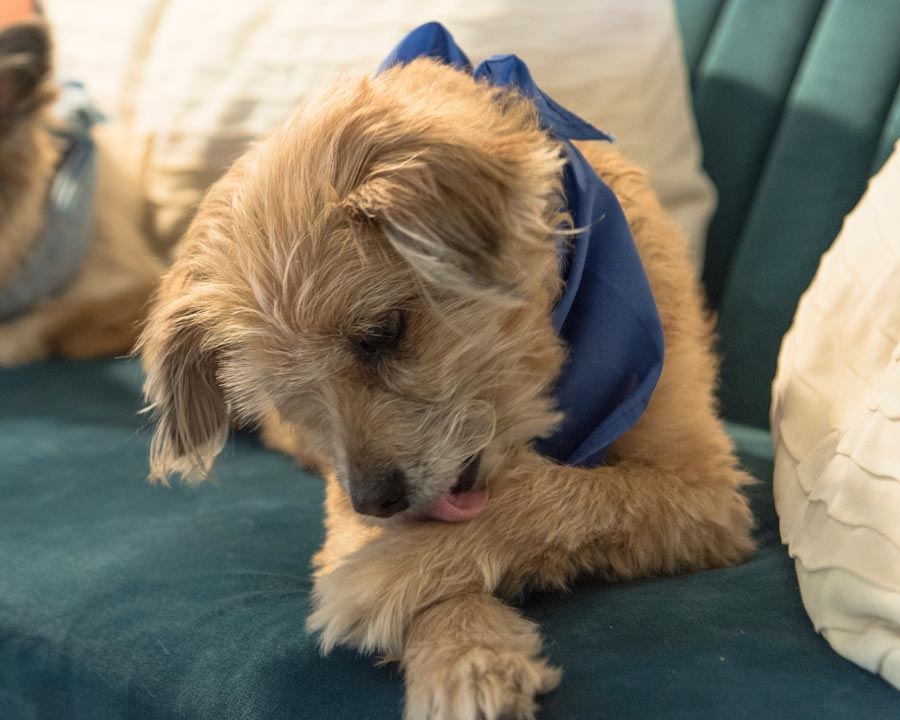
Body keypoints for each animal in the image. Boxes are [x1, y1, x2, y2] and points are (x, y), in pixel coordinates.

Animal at [137, 25, 756, 716]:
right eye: (288, 394)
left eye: (382, 331)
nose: (375, 502)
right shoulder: (348, 511)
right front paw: (464, 651)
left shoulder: (706, 492)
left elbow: (564, 496)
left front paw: (387, 576)